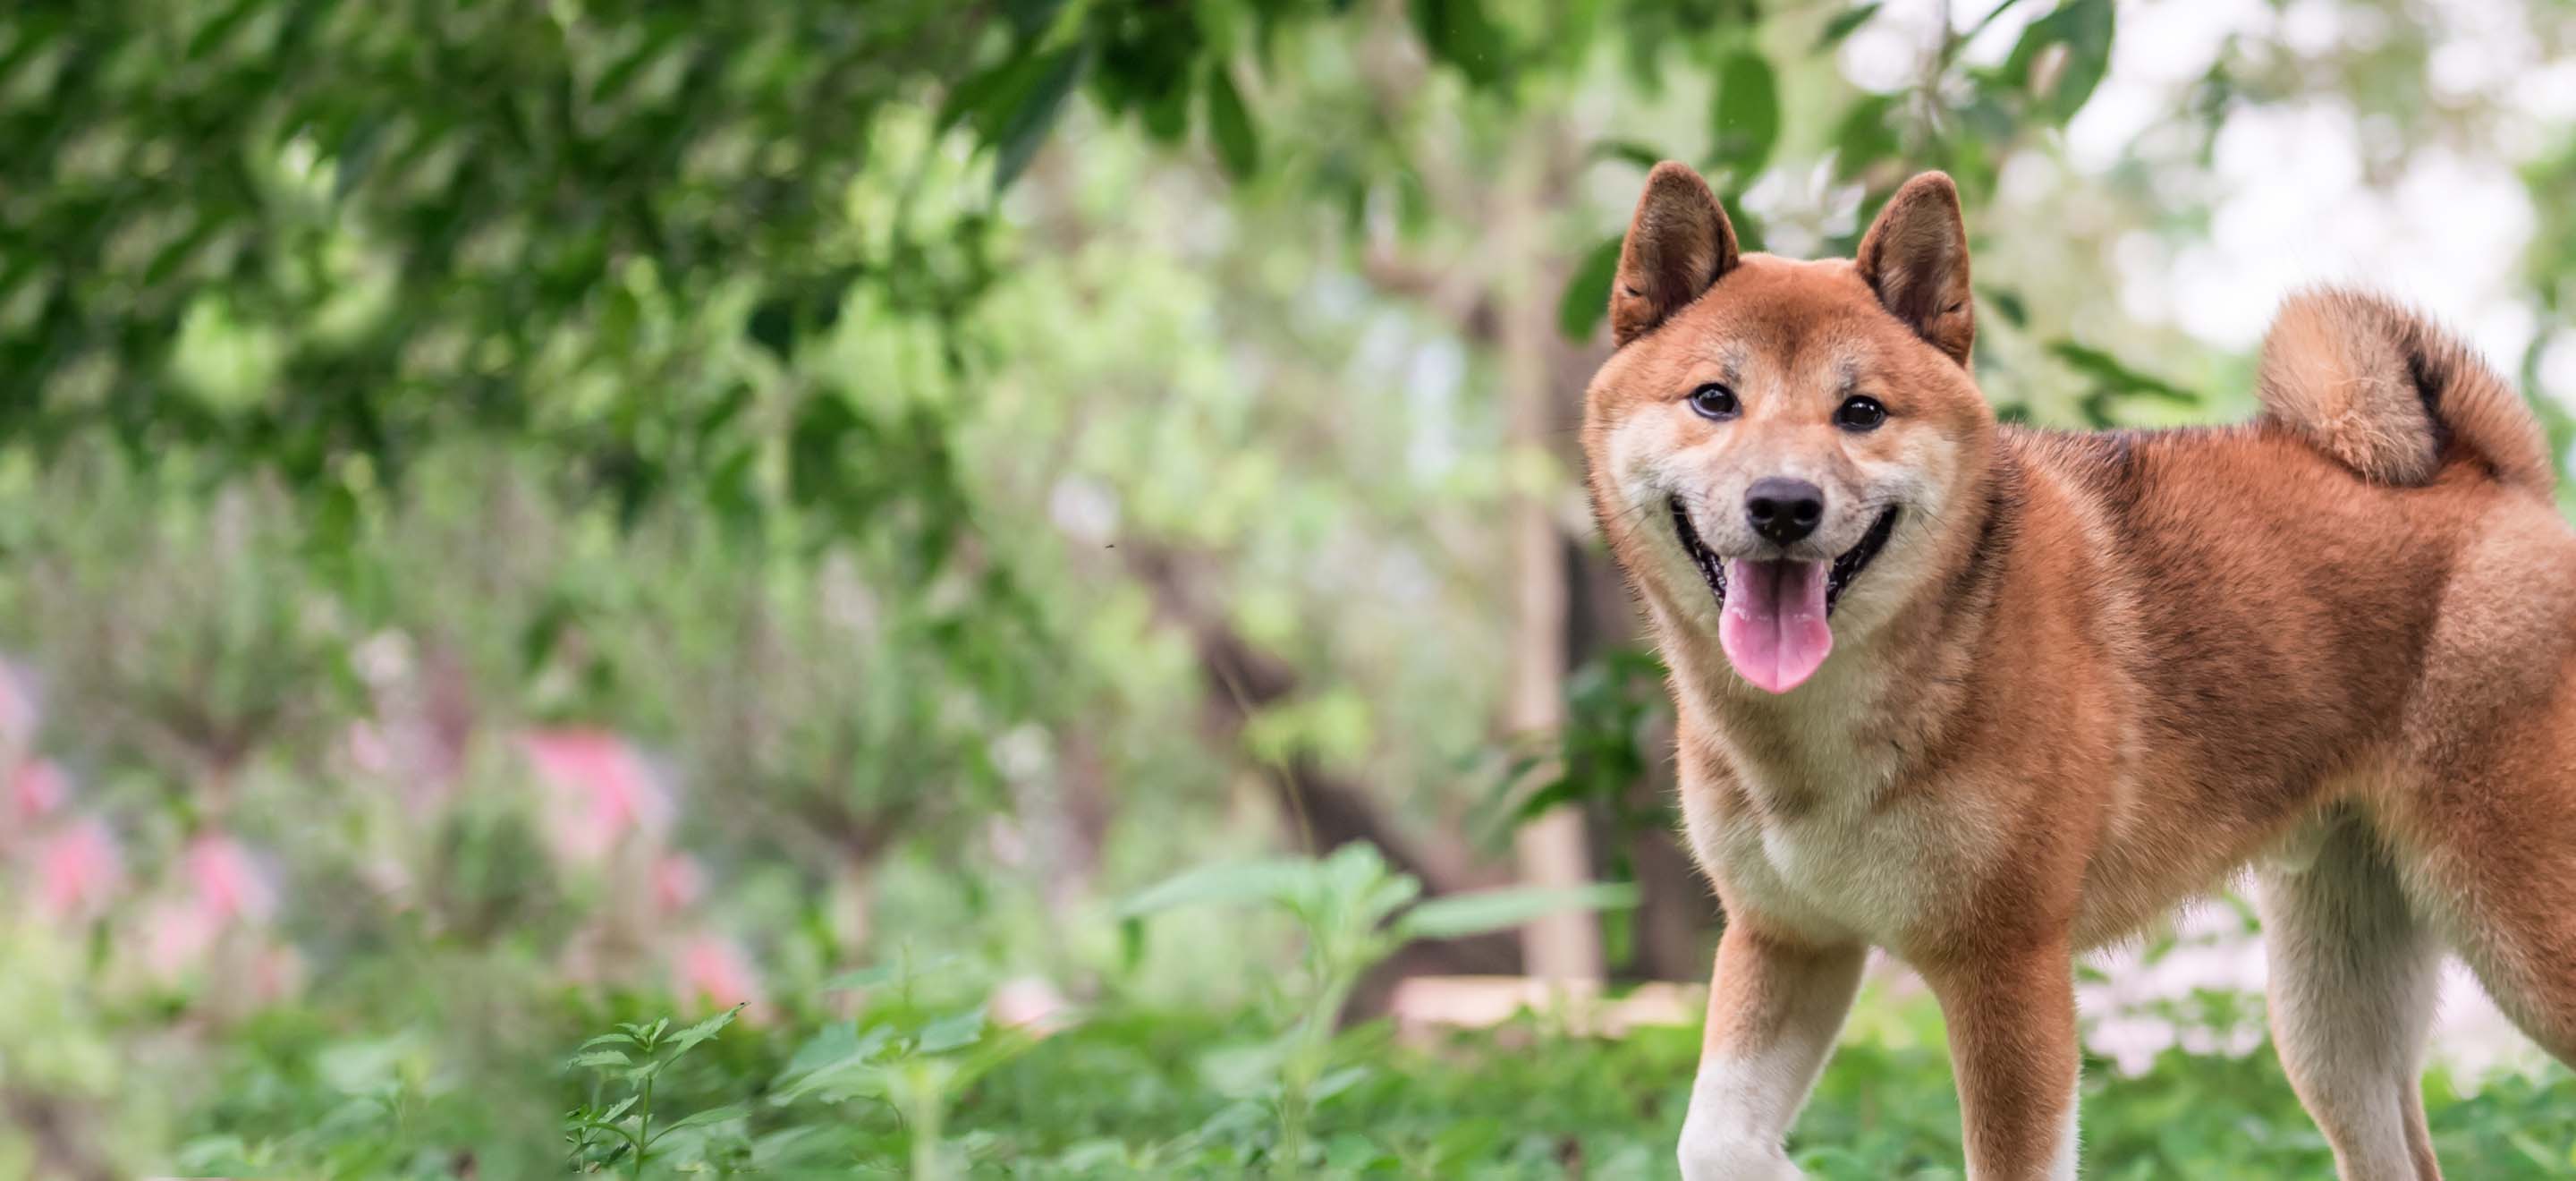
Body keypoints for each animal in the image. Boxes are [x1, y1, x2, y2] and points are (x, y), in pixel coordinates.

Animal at [1576, 158, 2576, 1181]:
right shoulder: (1788, 938)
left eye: (1860, 412)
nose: (1784, 504)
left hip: (2522, 938)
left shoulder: (2008, 968)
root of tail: (2494, 481)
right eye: (1713, 400)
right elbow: (1714, 1141)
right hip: (2331, 1014)